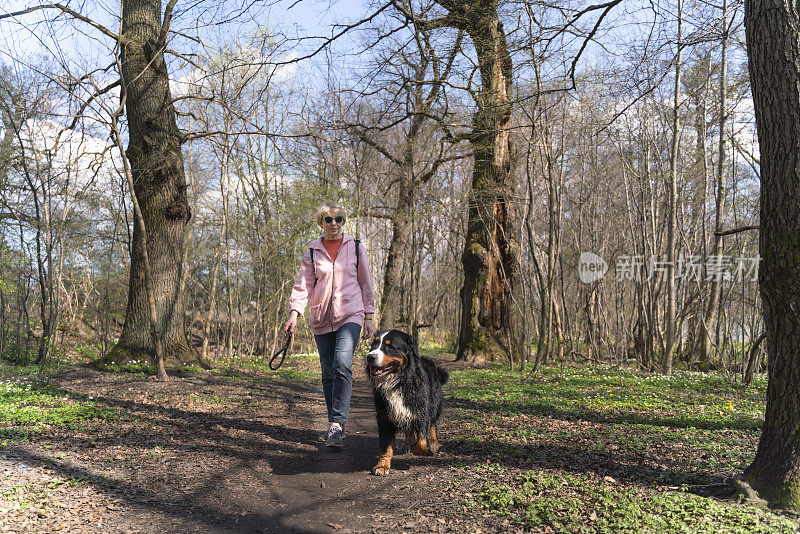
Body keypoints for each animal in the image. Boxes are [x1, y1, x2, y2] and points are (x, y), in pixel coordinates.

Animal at [364, 330, 446, 478]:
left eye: (390, 347)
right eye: (374, 345)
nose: (370, 357)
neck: (397, 382)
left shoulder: (421, 412)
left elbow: (422, 442)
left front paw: (418, 447)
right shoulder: (385, 417)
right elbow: (385, 445)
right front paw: (382, 465)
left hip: (433, 404)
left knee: (432, 423)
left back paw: (434, 443)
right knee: (409, 428)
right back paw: (408, 444)